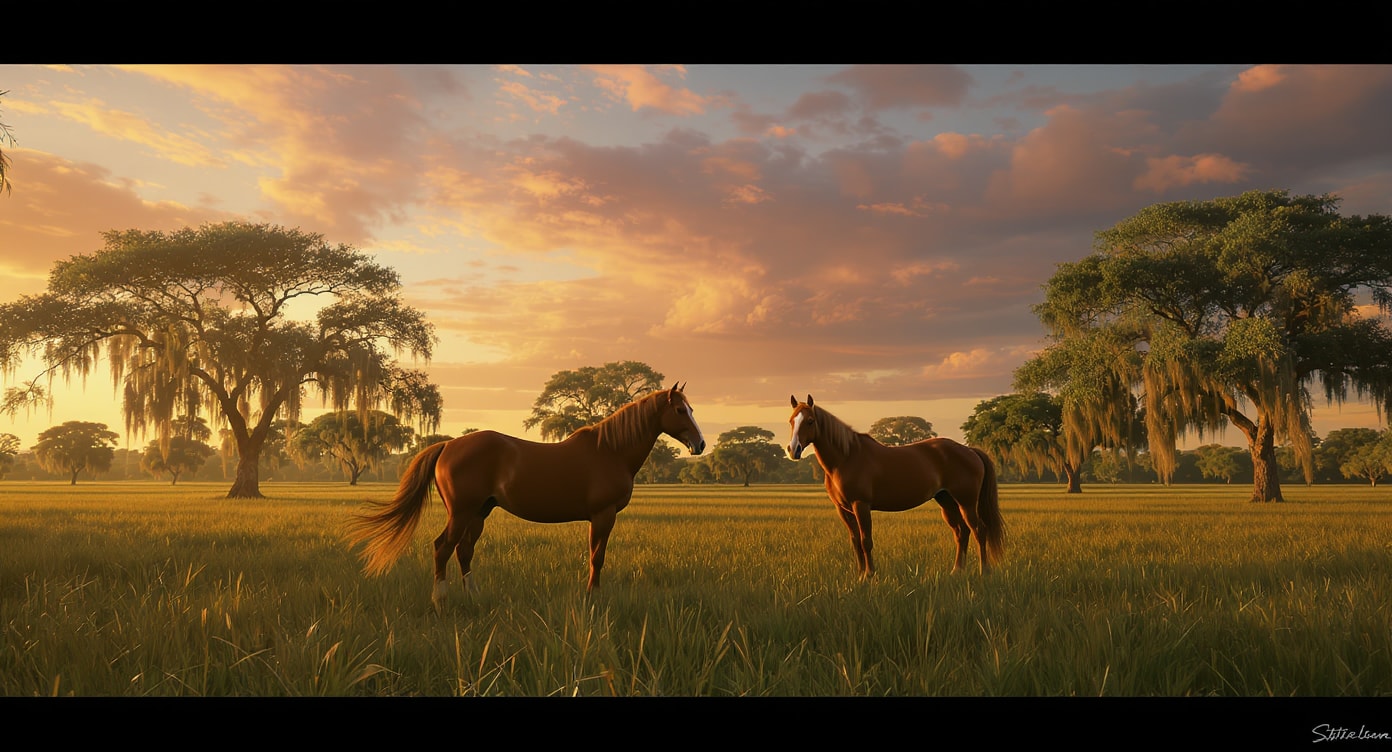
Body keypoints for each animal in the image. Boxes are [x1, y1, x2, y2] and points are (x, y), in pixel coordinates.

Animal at [348, 382, 706, 604]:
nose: (700, 444)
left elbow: (596, 556)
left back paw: (473, 596)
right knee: (442, 548)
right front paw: (592, 596)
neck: (610, 451)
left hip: (479, 513)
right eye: (680, 411)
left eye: (691, 409)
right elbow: (597, 557)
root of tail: (448, 445)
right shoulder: (602, 516)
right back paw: (441, 600)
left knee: (464, 551)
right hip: (462, 512)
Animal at [786, 395, 1005, 579]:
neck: (846, 458)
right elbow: (855, 541)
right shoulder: (843, 509)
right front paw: (860, 576)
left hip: (966, 502)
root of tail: (969, 450)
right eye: (791, 421)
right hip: (947, 501)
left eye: (810, 421)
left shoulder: (861, 505)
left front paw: (869, 575)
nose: (793, 450)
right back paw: (957, 570)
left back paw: (984, 571)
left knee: (979, 530)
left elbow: (866, 541)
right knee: (961, 532)